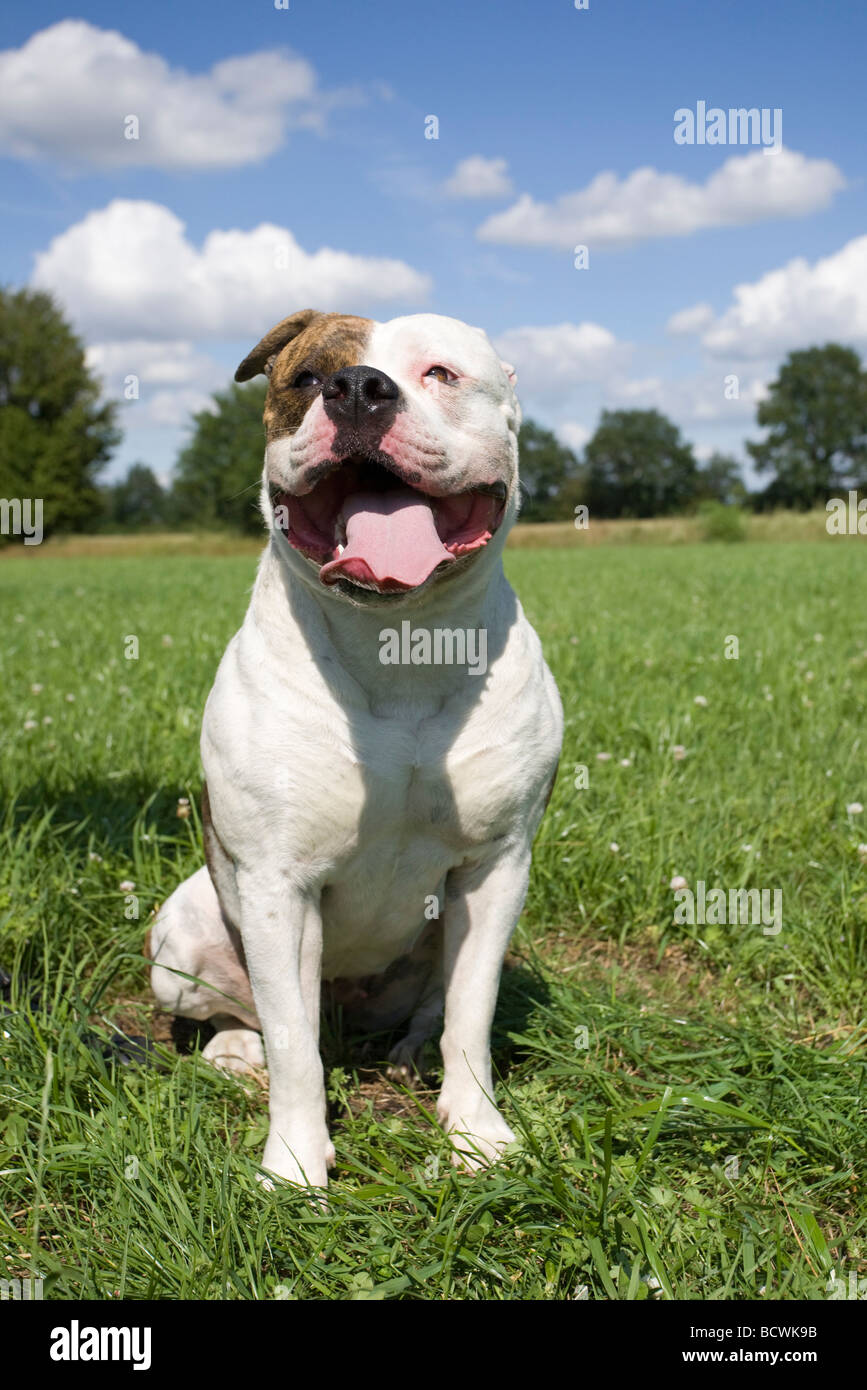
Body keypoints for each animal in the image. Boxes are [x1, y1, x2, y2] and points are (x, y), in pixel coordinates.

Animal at [148, 307, 561, 1184]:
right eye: (307, 378)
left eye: (439, 372)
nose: (360, 388)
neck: (394, 645)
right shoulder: (276, 885)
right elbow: (294, 1048)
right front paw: (294, 1166)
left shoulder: (494, 869)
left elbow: (470, 1016)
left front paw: (476, 1132)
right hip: (185, 928)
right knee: (254, 1018)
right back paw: (236, 1052)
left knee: (431, 1009)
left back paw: (411, 1056)